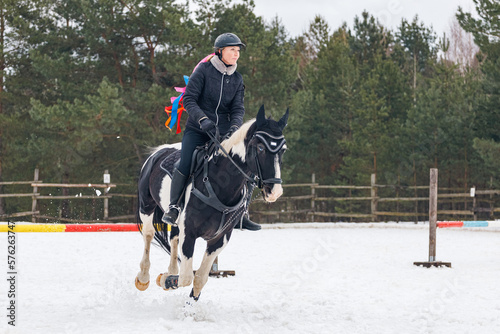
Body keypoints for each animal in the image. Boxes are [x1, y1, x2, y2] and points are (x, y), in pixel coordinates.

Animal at [135, 105, 290, 298]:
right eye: (260, 147)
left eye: (283, 150)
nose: (274, 191)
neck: (219, 186)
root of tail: (159, 152)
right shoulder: (190, 232)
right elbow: (187, 278)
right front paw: (166, 280)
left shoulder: (219, 239)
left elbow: (199, 279)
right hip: (146, 206)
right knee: (148, 234)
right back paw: (144, 277)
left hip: (176, 222)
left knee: (173, 238)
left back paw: (170, 271)